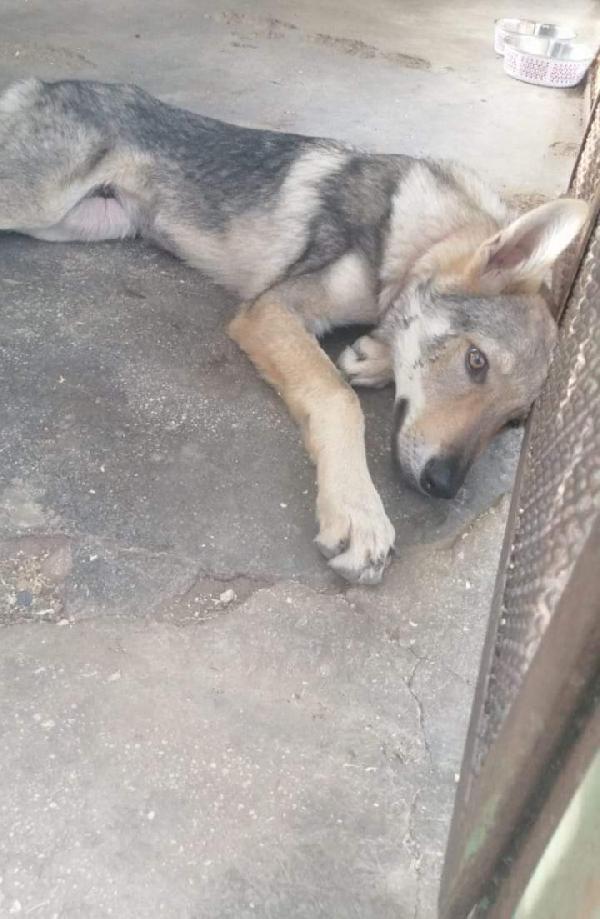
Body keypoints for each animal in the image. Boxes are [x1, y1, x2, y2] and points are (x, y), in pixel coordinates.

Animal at [0, 78, 588, 584]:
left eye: (512, 423)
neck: (409, 232)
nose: (442, 486)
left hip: (77, 224)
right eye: (476, 362)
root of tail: (42, 83)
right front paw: (358, 513)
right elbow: (338, 398)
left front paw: (374, 354)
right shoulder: (270, 309)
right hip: (38, 204)